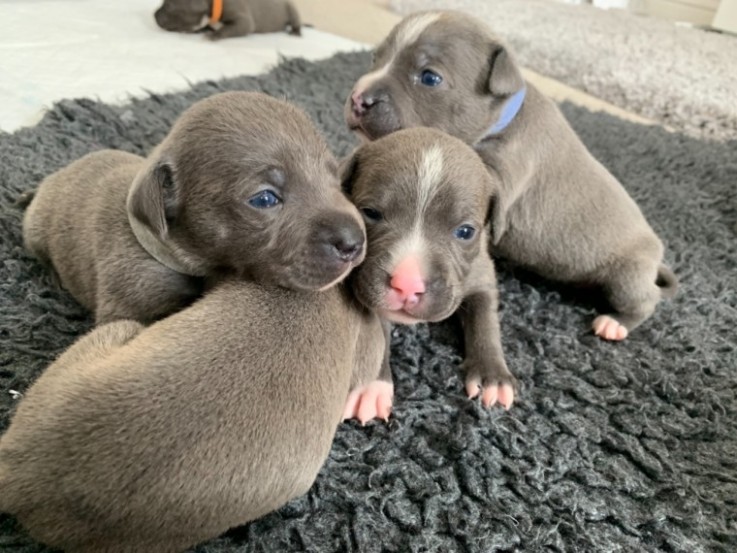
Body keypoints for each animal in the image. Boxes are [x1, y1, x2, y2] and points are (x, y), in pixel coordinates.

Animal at [20, 90, 362, 324]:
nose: (354, 242)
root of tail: (52, 178)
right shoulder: (128, 304)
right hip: (36, 231)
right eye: (264, 199)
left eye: (336, 179)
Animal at [155, 0, 302, 38]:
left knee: (295, 19)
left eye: (169, 6)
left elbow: (230, 28)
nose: (154, 15)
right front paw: (201, 30)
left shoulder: (244, 20)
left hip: (291, 7)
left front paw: (214, 35)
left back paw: (296, 32)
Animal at [344, 9, 680, 340]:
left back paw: (615, 322)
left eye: (429, 77)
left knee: (643, 300)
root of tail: (656, 260)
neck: (504, 117)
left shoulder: (507, 167)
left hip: (628, 274)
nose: (358, 97)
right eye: (375, 58)